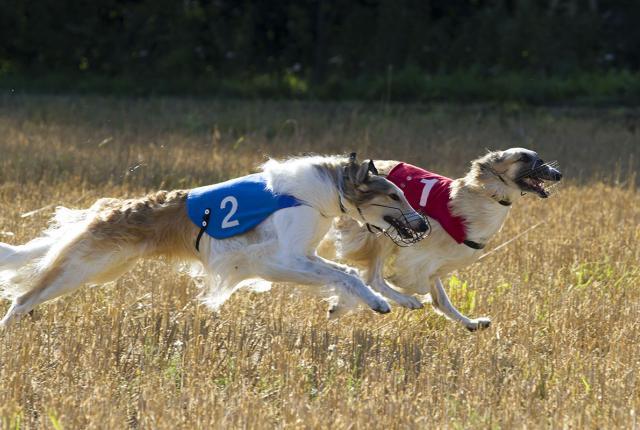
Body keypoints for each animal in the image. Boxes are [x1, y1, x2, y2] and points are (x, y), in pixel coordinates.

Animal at [2, 155, 430, 326]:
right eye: (395, 196)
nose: (423, 225)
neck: (321, 192)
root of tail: (105, 211)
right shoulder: (279, 261)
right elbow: (346, 274)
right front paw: (376, 303)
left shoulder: (300, 257)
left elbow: (351, 275)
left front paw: (401, 300)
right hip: (83, 266)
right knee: (22, 299)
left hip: (104, 267)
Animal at [322, 147, 564, 330]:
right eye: (524, 158)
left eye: (540, 158)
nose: (558, 174)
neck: (482, 198)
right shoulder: (416, 252)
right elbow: (404, 282)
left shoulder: (434, 264)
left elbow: (441, 301)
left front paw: (472, 323)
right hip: (382, 232)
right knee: (373, 277)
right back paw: (404, 301)